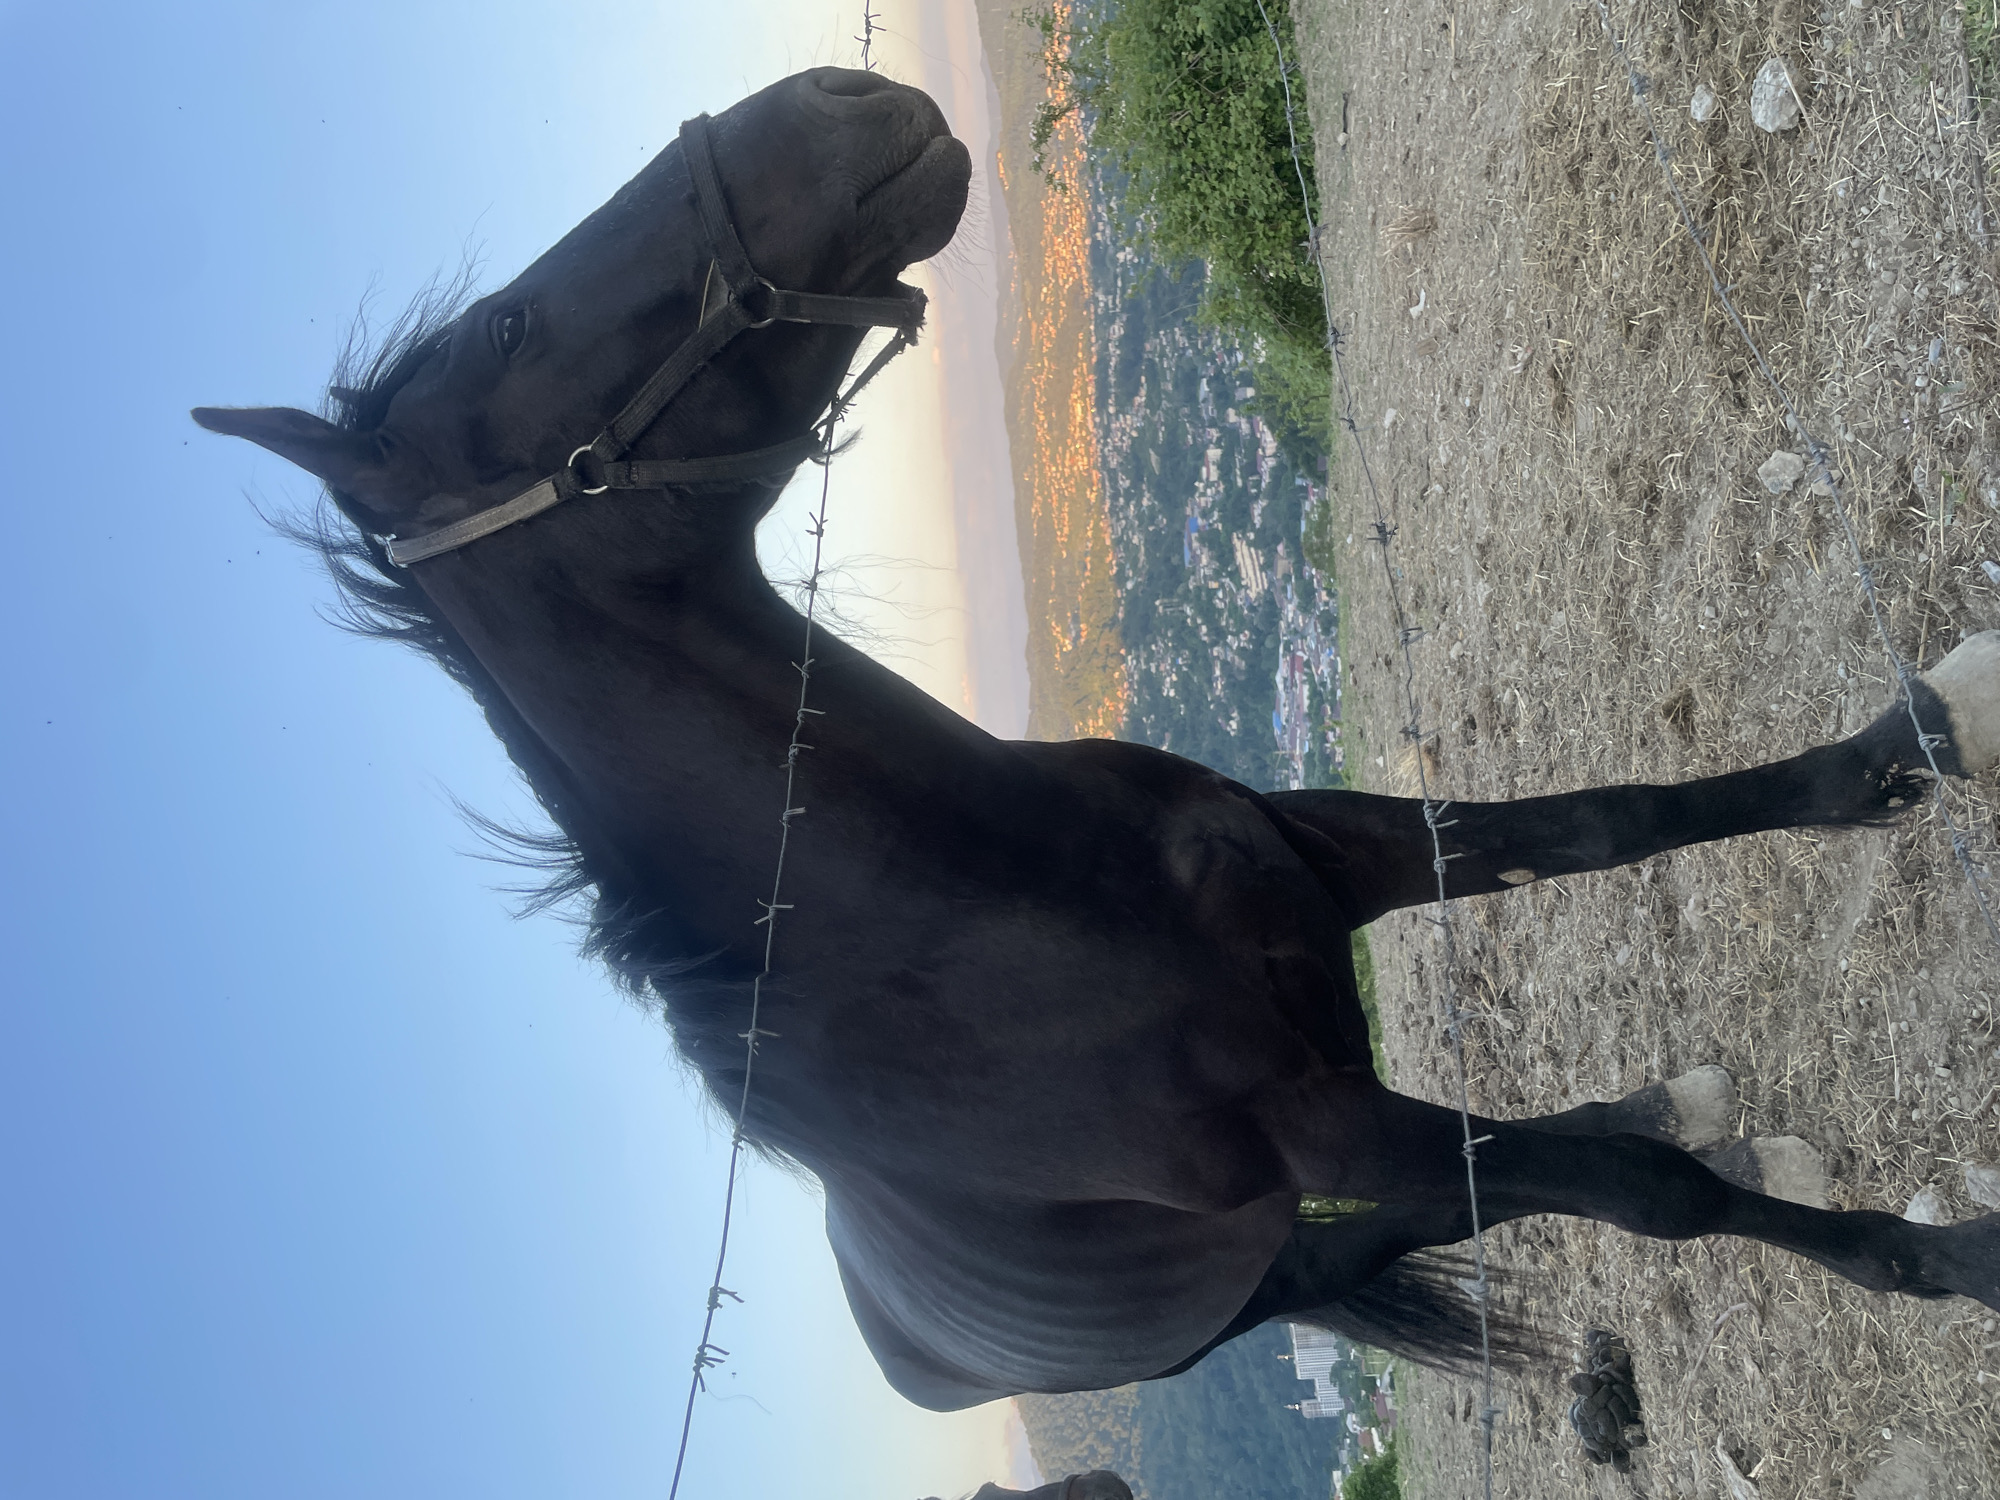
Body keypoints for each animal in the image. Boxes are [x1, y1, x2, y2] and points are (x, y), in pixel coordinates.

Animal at [194, 66, 2000, 1425]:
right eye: (502, 337)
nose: (830, 94)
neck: (993, 910)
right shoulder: (1310, 1124)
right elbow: (1651, 1202)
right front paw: (1949, 1263)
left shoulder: (1322, 858)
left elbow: (1607, 821)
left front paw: (1901, 749)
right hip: (1256, 1258)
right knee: (1441, 1211)